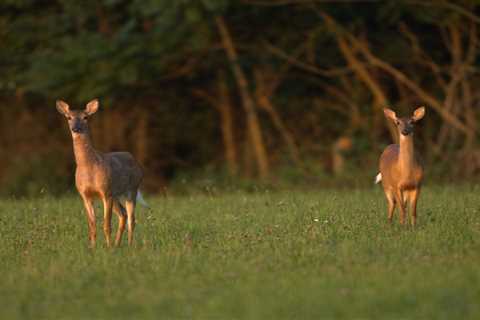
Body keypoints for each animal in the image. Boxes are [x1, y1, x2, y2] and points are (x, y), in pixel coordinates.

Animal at [56, 99, 146, 248]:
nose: (75, 128)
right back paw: (117, 244)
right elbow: (92, 225)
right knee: (123, 214)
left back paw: (128, 245)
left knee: (131, 219)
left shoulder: (105, 191)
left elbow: (106, 225)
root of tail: (134, 159)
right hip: (115, 195)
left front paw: (107, 247)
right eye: (69, 117)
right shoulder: (85, 195)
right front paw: (92, 248)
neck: (88, 168)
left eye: (85, 117)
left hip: (131, 189)